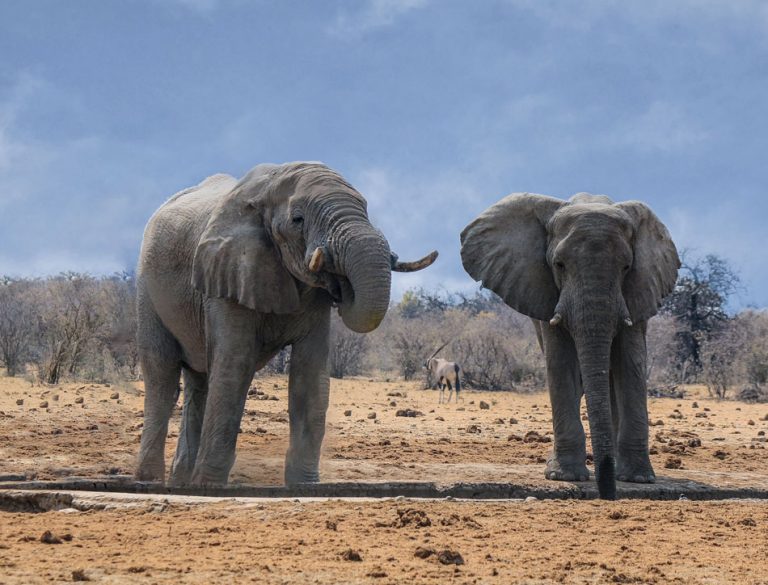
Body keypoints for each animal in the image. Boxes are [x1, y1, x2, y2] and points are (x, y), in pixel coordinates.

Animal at [135, 162, 436, 486]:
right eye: (297, 219)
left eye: (366, 209)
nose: (340, 283)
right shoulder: (226, 274)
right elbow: (234, 365)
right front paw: (210, 485)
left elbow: (310, 373)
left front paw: (304, 485)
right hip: (147, 289)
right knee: (162, 376)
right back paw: (150, 481)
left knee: (197, 382)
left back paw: (180, 482)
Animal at [460, 190, 676, 498]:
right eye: (559, 265)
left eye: (626, 267)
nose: (607, 496)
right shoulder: (545, 291)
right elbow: (561, 363)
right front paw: (564, 477)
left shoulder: (638, 290)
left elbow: (630, 364)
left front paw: (639, 479)